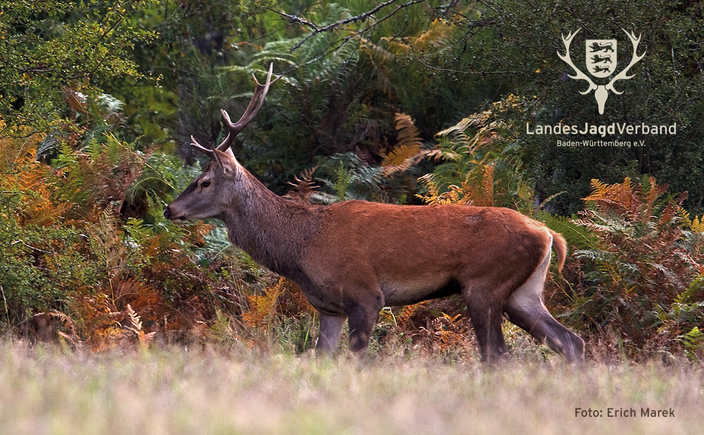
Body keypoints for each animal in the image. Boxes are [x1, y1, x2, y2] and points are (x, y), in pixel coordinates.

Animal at [163, 64, 586, 364]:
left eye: (203, 182)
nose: (170, 209)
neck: (301, 246)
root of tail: (550, 234)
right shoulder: (329, 307)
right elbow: (322, 358)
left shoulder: (365, 294)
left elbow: (358, 359)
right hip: (524, 293)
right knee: (571, 341)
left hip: (484, 284)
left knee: (497, 355)